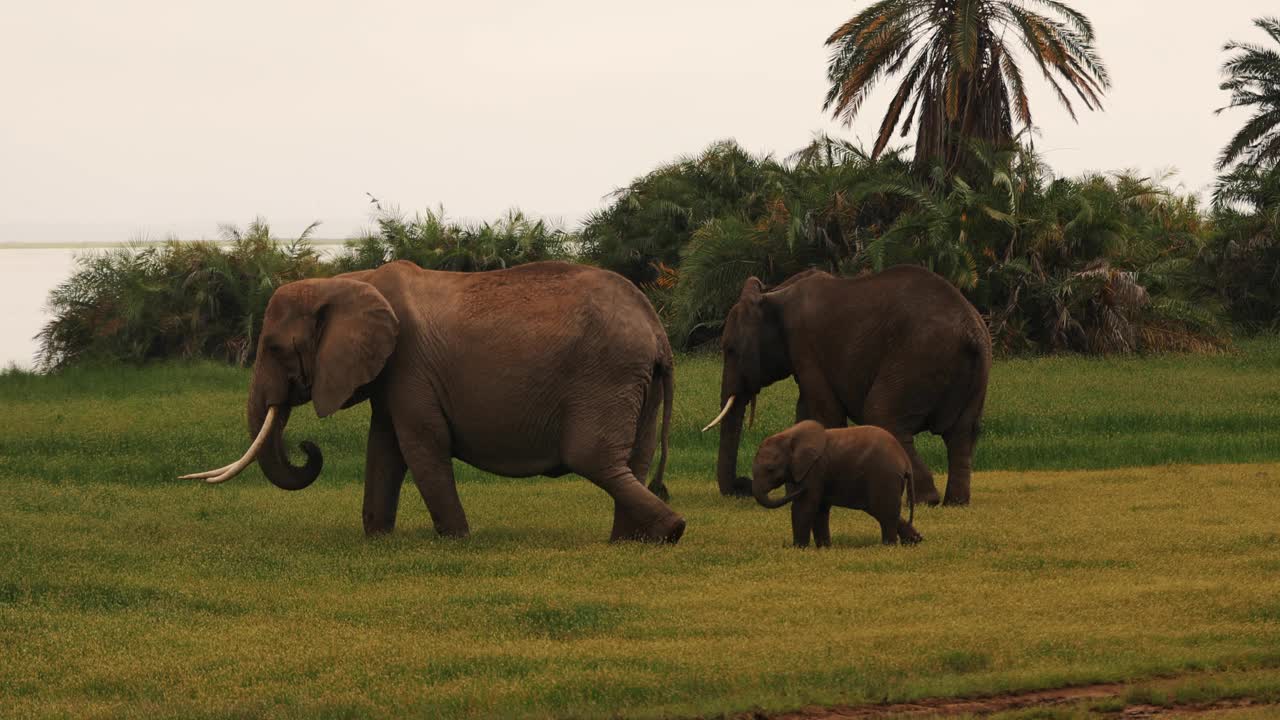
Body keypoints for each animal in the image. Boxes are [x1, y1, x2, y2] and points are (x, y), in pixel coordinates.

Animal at [181, 260, 686, 540]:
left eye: (273, 348)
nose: (308, 448)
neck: (350, 280)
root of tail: (657, 331)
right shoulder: (390, 373)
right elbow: (384, 448)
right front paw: (378, 539)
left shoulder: (409, 365)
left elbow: (421, 446)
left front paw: (457, 540)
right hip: (634, 380)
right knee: (631, 459)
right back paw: (633, 542)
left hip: (606, 374)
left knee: (592, 458)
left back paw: (671, 531)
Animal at [701, 263, 988, 504]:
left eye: (730, 350)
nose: (742, 485)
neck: (774, 293)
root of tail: (971, 330)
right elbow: (806, 414)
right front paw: (796, 492)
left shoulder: (805, 344)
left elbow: (826, 413)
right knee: (963, 433)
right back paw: (955, 502)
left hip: (919, 357)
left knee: (883, 415)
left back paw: (925, 500)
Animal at [747, 420, 921, 543]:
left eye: (770, 470)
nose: (798, 489)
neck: (789, 436)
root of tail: (905, 460)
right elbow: (819, 509)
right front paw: (823, 548)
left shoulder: (814, 470)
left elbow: (805, 506)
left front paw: (799, 548)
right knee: (885, 511)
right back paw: (915, 541)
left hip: (884, 477)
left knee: (883, 511)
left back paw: (889, 545)